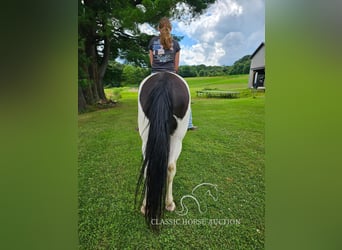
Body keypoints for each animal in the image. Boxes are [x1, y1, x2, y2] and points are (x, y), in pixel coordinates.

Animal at [135, 71, 191, 229]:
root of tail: (164, 79)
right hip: (177, 139)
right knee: (171, 167)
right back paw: (169, 203)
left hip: (146, 137)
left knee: (148, 167)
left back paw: (145, 205)